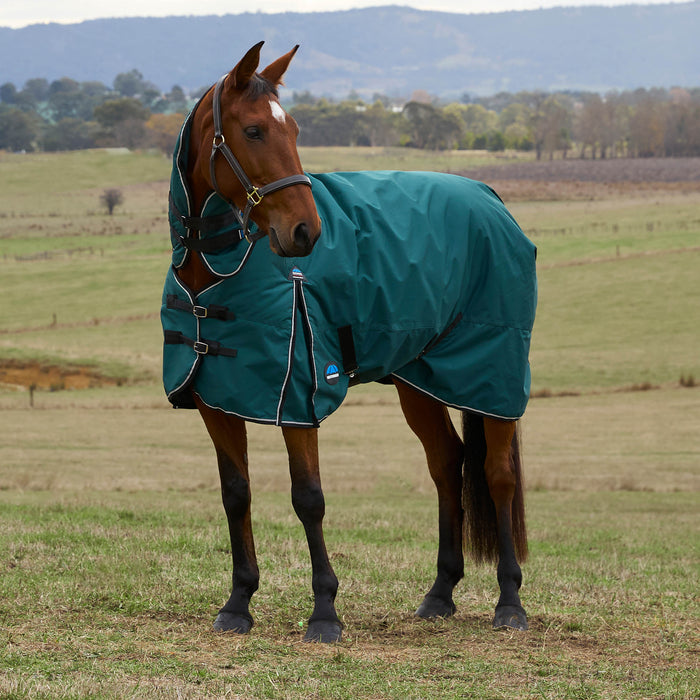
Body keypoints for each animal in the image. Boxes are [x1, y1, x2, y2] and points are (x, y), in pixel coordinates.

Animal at [161, 42, 536, 643]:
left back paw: (509, 603)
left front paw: (324, 612)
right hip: (420, 382)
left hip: (491, 377)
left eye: (293, 128)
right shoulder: (217, 399)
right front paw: (238, 603)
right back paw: (439, 594)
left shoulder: (298, 397)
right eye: (253, 130)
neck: (217, 270)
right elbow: (235, 494)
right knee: (447, 465)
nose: (306, 233)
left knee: (497, 475)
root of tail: (490, 198)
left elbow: (308, 499)